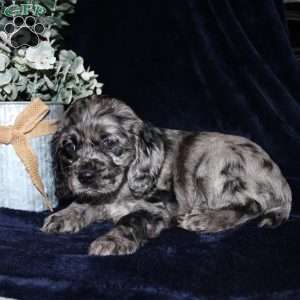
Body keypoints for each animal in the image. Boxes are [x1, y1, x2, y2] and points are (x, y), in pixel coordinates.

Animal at [41, 95, 292, 255]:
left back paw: (203, 219)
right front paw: (63, 215)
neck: (121, 189)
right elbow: (84, 202)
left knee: (252, 205)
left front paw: (111, 240)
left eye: (109, 143)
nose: (84, 176)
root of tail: (281, 181)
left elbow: (130, 219)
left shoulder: (158, 208)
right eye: (69, 147)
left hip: (213, 164)